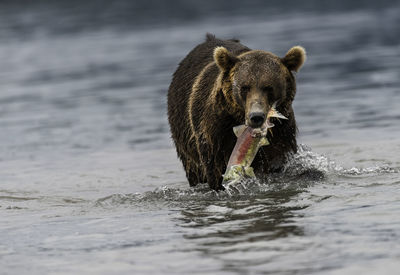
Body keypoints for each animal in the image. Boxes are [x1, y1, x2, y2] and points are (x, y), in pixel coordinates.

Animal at [167, 33, 304, 191]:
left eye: (269, 87)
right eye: (245, 87)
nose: (256, 116)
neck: (237, 117)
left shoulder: (281, 130)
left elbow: (279, 158)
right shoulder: (215, 131)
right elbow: (215, 167)